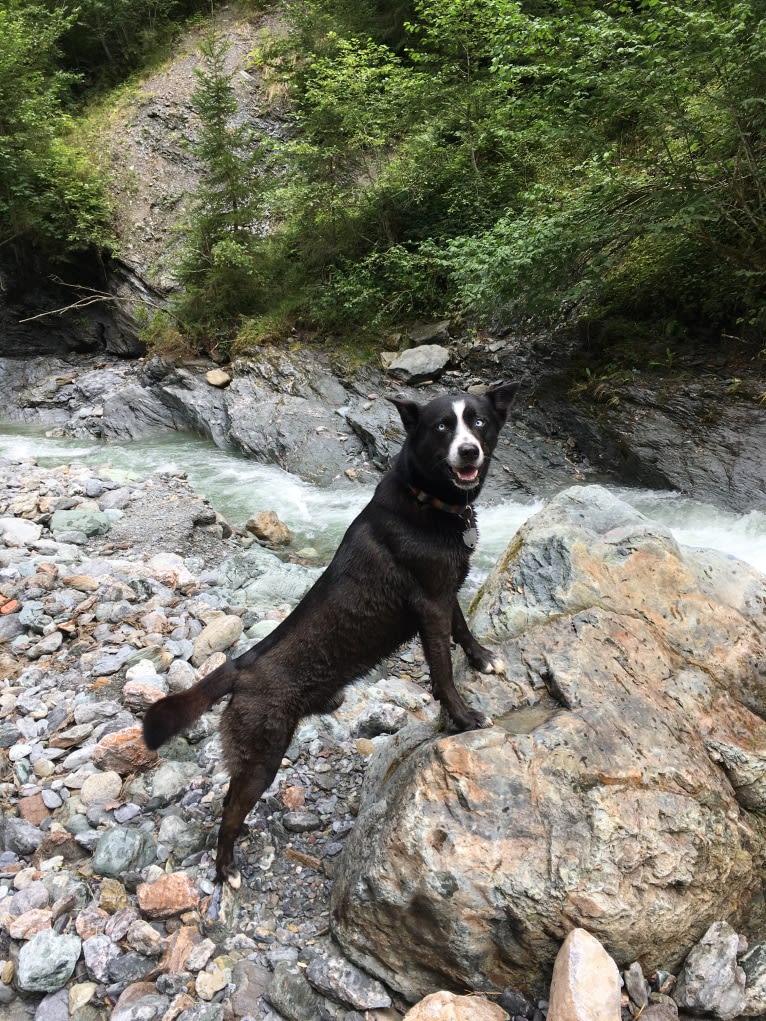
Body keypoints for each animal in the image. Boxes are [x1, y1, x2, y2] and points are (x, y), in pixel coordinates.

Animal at [141, 383, 518, 886]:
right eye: (442, 427)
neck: (427, 501)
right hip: (262, 754)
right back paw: (227, 869)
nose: (469, 450)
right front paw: (462, 717)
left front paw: (483, 658)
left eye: (477, 422)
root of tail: (239, 666)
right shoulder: (430, 605)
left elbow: (463, 629)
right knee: (230, 808)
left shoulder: (447, 592)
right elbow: (441, 668)